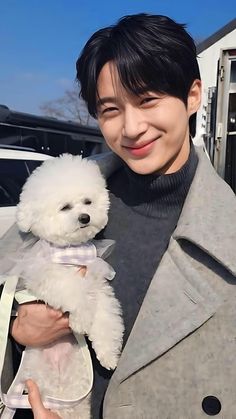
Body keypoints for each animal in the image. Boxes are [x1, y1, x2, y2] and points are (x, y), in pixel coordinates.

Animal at [12, 154, 124, 419]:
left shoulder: (98, 284)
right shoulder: (46, 275)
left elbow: (106, 318)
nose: (85, 217)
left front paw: (108, 354)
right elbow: (73, 290)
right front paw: (81, 319)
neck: (71, 252)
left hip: (77, 388)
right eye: (65, 207)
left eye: (87, 202)